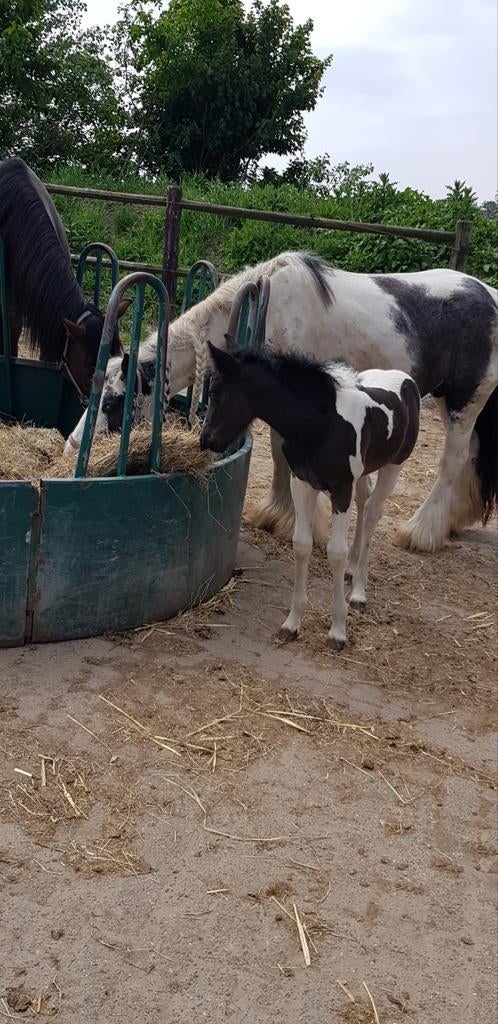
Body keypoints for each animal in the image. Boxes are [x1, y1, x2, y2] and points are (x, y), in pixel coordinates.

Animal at [65, 251, 497, 552]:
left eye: (113, 402)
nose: (71, 446)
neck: (270, 309)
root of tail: (489, 294)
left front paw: (297, 522)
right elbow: (277, 452)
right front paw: (278, 514)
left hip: (464, 402)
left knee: (453, 461)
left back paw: (421, 533)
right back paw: (453, 521)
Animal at [200, 343, 420, 648]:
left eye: (213, 392)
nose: (205, 440)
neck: (319, 425)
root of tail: (405, 378)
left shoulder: (341, 489)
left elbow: (336, 553)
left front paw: (338, 630)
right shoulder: (302, 482)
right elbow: (301, 545)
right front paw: (292, 624)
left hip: (394, 466)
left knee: (372, 515)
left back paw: (359, 593)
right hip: (363, 473)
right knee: (364, 504)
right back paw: (353, 571)